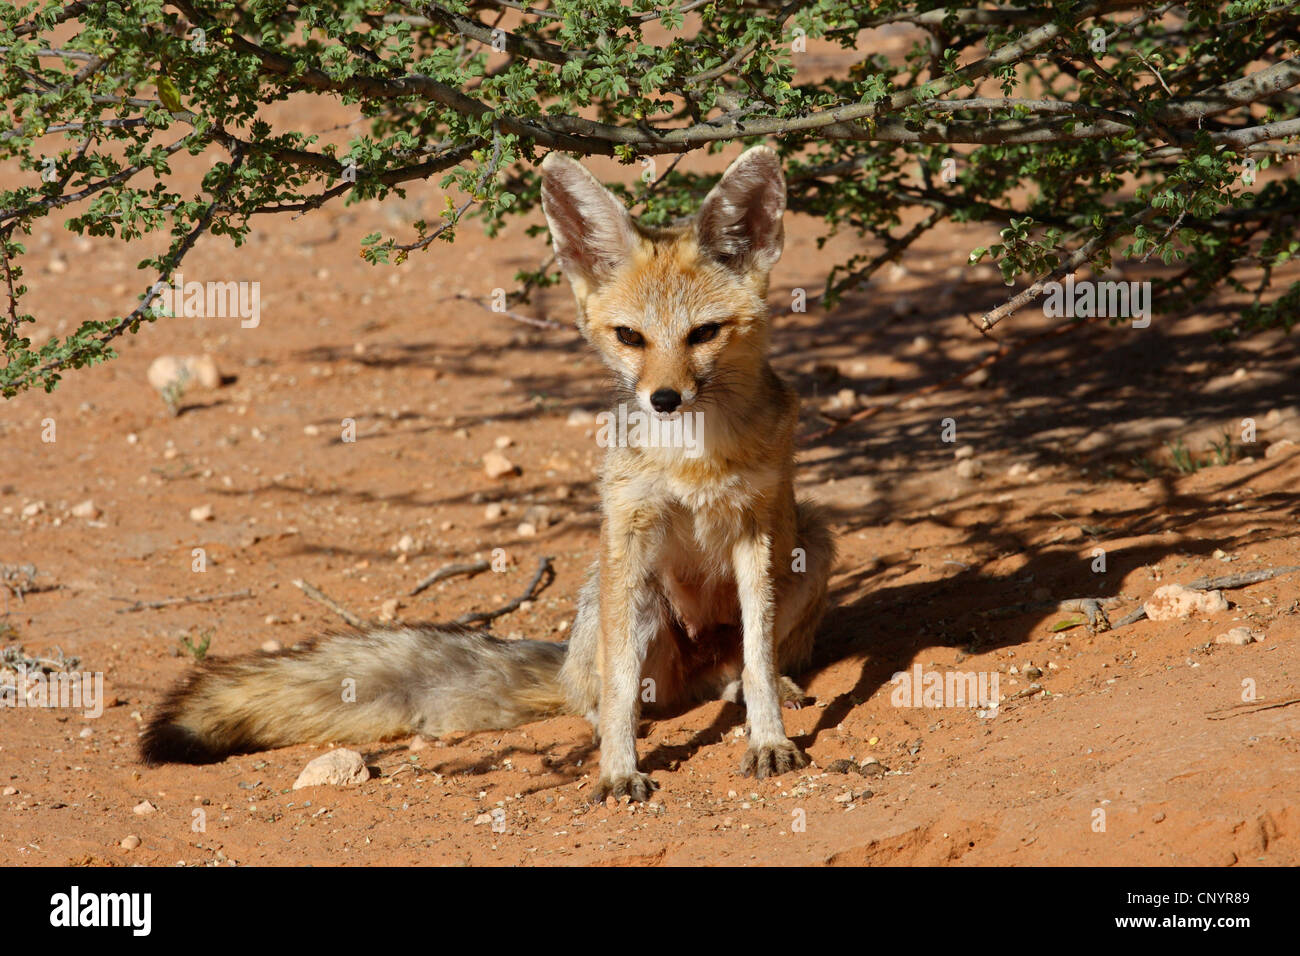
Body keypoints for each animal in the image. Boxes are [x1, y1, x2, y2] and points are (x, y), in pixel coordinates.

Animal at [140, 146, 835, 801]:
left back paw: (761, 687)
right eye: (630, 338)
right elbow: (619, 695)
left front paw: (769, 738)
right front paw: (617, 770)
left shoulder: (754, 530)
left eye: (704, 333)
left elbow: (757, 657)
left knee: (738, 670)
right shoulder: (632, 524)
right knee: (609, 697)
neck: (693, 456)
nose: (663, 399)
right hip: (630, 601)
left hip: (813, 542)